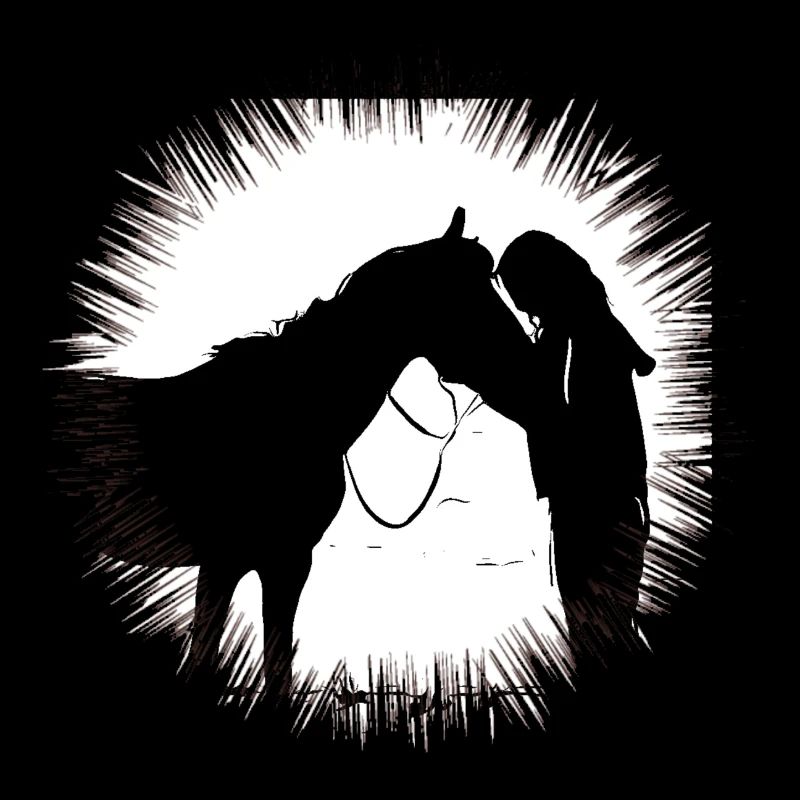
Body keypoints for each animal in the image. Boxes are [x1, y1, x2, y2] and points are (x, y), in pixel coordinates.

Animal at [56, 208, 557, 703]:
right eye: (467, 297)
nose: (534, 379)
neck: (290, 407)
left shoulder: (236, 565)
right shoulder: (267, 561)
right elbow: (255, 675)